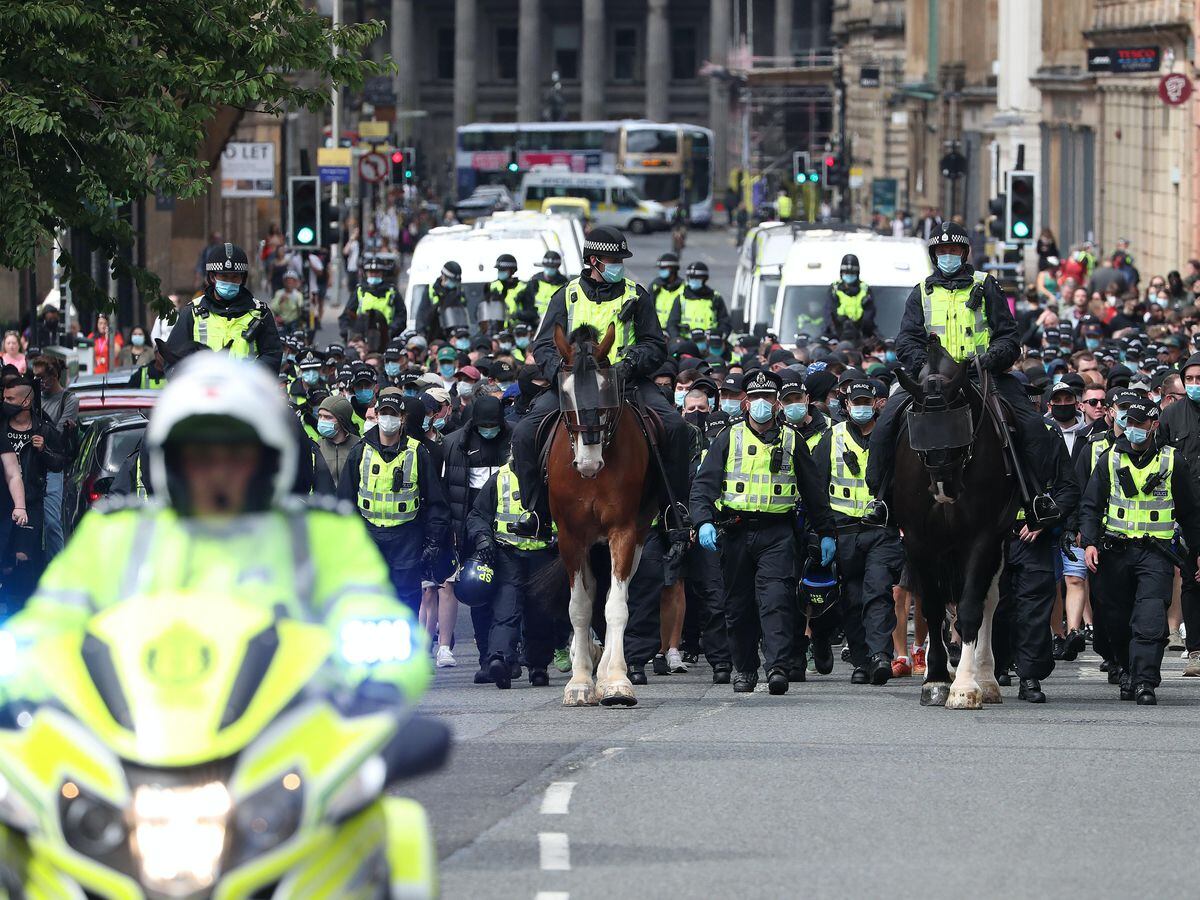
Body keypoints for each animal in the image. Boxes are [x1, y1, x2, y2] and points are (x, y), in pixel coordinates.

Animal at [547, 324, 652, 710]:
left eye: (608, 390)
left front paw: (617, 681)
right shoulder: (569, 536)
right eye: (565, 393)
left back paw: (605, 669)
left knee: (611, 595)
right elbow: (579, 606)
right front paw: (578, 684)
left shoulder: (624, 530)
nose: (589, 463)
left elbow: (616, 606)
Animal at [897, 338, 1017, 710]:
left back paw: (986, 677)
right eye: (917, 424)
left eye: (958, 420)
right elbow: (933, 607)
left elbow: (969, 609)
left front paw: (965, 686)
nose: (944, 488)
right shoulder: (917, 540)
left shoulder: (982, 537)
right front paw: (935, 678)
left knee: (987, 601)